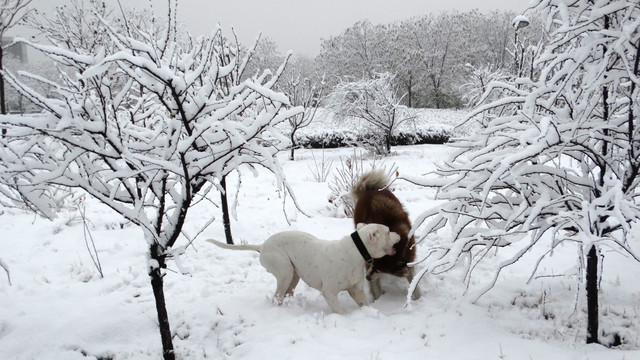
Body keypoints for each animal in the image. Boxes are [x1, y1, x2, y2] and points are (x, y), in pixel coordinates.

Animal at [209, 224, 400, 314]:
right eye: (388, 231)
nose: (399, 233)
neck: (355, 251)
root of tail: (262, 246)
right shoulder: (329, 292)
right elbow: (339, 311)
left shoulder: (357, 290)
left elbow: (365, 304)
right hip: (285, 272)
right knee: (277, 296)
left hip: (294, 276)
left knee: (287, 293)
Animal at [350, 170, 420, 300]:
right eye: (372, 264)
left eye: (379, 269)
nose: (367, 277)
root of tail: (370, 190)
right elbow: (376, 288)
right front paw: (379, 301)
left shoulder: (408, 260)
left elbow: (414, 284)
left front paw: (417, 299)